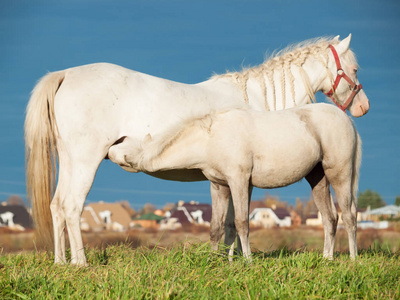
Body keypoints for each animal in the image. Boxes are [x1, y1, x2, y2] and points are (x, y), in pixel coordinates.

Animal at [110, 103, 362, 260]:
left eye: (120, 145)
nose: (109, 147)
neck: (212, 138)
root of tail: (348, 120)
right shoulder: (220, 186)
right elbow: (218, 226)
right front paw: (215, 260)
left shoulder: (239, 181)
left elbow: (241, 222)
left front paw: (247, 260)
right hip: (318, 178)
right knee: (330, 218)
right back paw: (327, 258)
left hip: (340, 173)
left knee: (349, 215)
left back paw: (353, 259)